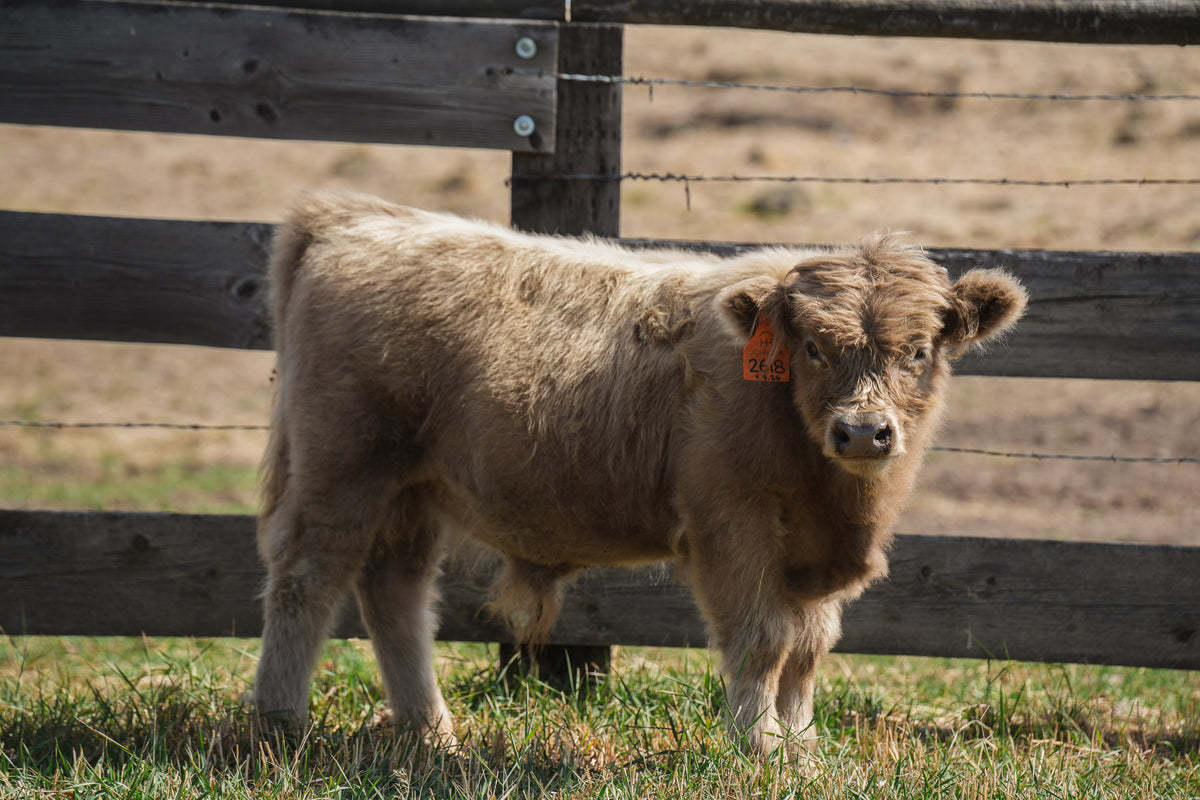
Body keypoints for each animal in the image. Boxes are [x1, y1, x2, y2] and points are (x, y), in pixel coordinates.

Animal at [250, 190, 1027, 757]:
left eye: (919, 350)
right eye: (811, 347)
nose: (863, 431)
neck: (832, 498)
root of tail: (362, 219)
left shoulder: (812, 557)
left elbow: (806, 650)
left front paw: (803, 749)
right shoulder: (732, 523)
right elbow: (763, 640)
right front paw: (760, 749)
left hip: (412, 493)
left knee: (396, 593)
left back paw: (430, 731)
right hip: (341, 472)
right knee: (307, 581)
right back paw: (279, 724)